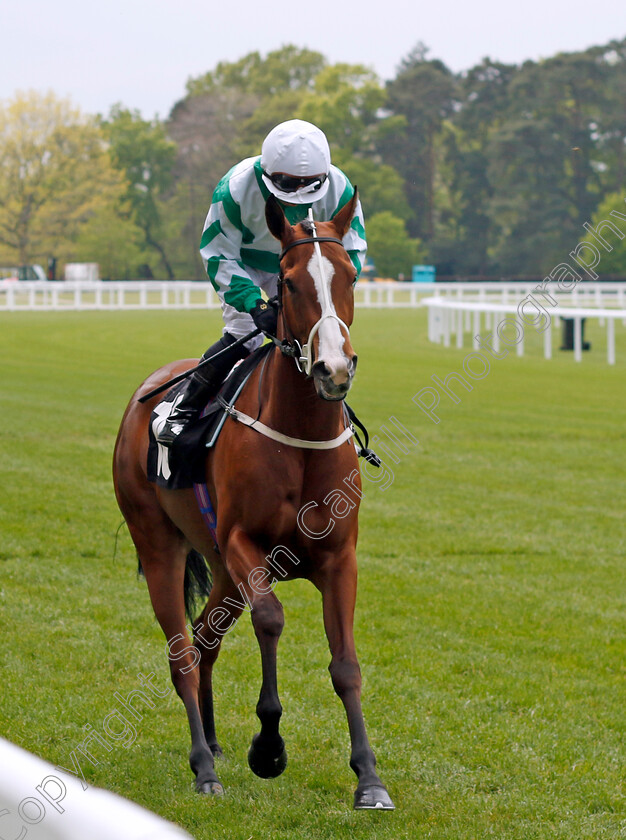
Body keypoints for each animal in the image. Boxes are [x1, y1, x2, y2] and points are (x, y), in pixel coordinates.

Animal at [111, 192, 392, 812]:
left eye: (351, 274)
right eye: (287, 282)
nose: (334, 368)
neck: (300, 436)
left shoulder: (340, 558)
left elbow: (346, 666)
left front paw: (369, 778)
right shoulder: (246, 544)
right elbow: (271, 619)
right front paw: (268, 746)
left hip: (218, 565)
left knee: (203, 639)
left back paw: (214, 743)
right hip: (161, 543)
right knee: (181, 653)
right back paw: (202, 765)